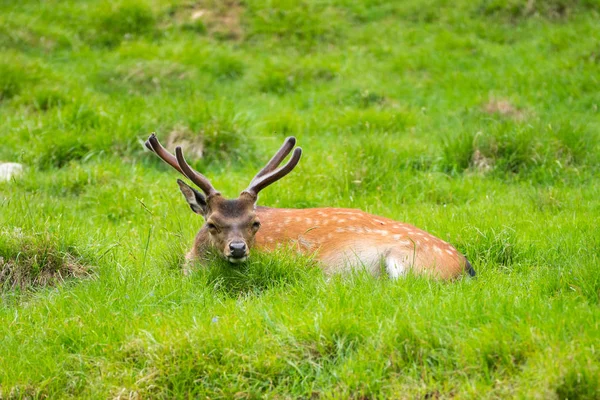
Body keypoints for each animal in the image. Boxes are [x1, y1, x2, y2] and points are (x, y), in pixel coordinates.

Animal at [144, 133, 474, 280]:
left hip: (408, 260)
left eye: (255, 222)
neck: (192, 262)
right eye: (212, 223)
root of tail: (466, 266)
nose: (237, 249)